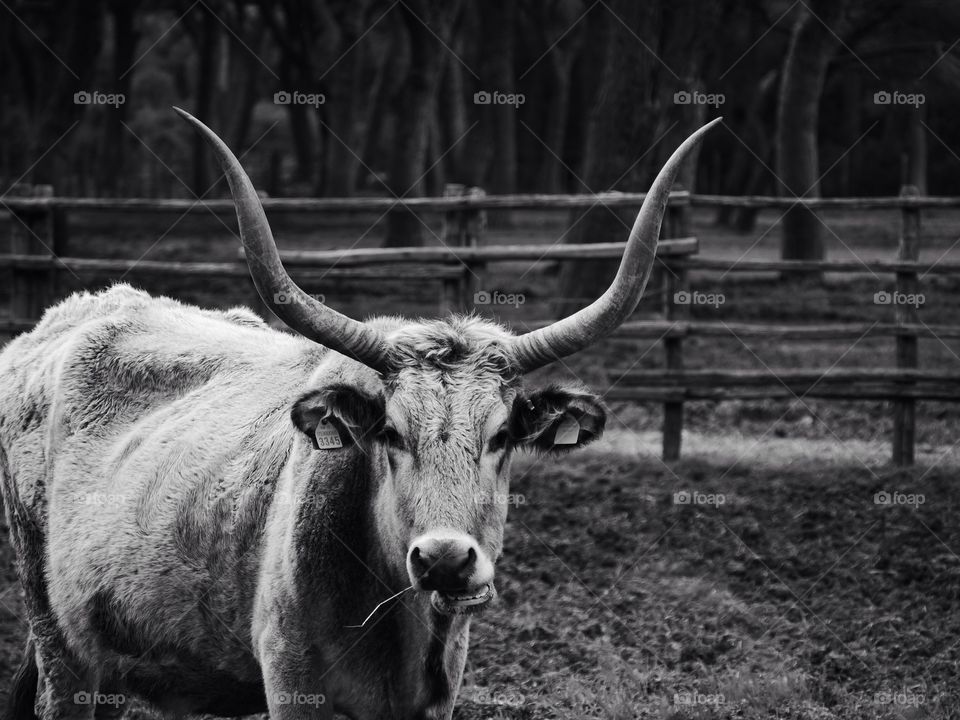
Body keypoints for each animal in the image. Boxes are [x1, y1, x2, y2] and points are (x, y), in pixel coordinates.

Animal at [0, 108, 716, 720]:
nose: (446, 560)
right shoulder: (291, 684)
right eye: (391, 434)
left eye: (502, 436)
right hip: (60, 645)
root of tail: (58, 323)